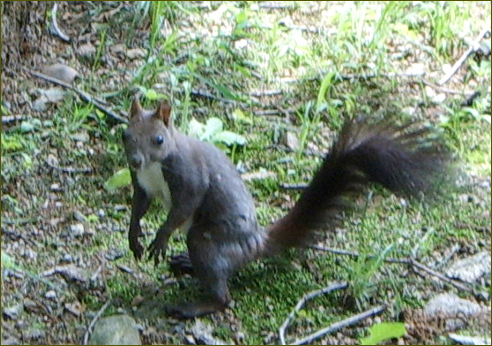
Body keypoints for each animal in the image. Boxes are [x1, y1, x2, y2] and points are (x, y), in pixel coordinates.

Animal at [122, 97, 450, 318]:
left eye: (159, 139)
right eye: (126, 135)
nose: (135, 160)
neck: (154, 167)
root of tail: (256, 242)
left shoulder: (190, 177)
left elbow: (182, 208)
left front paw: (160, 239)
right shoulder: (142, 184)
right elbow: (139, 206)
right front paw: (134, 237)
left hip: (207, 239)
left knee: (223, 292)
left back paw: (193, 305)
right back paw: (186, 265)